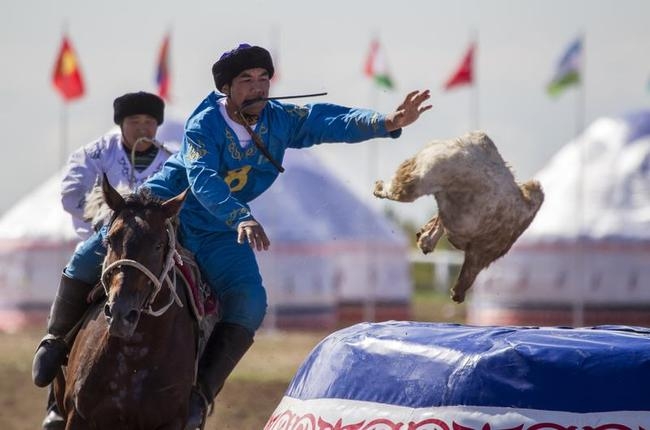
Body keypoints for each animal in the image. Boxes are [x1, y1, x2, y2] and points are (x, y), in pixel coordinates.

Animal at [55, 178, 197, 430]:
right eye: (111, 239)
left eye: (158, 245)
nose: (121, 314)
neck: (134, 358)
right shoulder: (77, 415)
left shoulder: (171, 421)